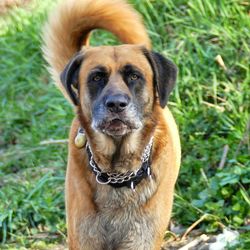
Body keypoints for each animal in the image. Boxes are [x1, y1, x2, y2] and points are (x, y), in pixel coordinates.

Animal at [42, 0, 180, 250]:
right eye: (97, 78)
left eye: (134, 76)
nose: (116, 104)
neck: (117, 174)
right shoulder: (83, 238)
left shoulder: (141, 239)